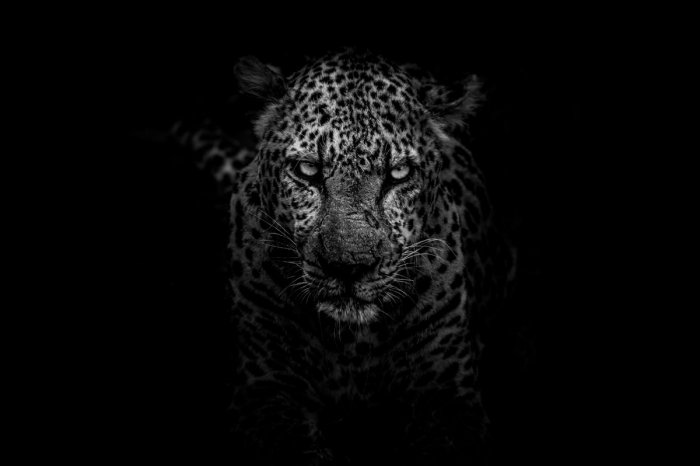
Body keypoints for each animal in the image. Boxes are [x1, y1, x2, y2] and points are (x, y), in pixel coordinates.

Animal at [171, 48, 516, 465]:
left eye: (399, 173)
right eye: (307, 170)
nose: (349, 267)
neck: (354, 345)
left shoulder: (448, 397)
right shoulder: (265, 388)